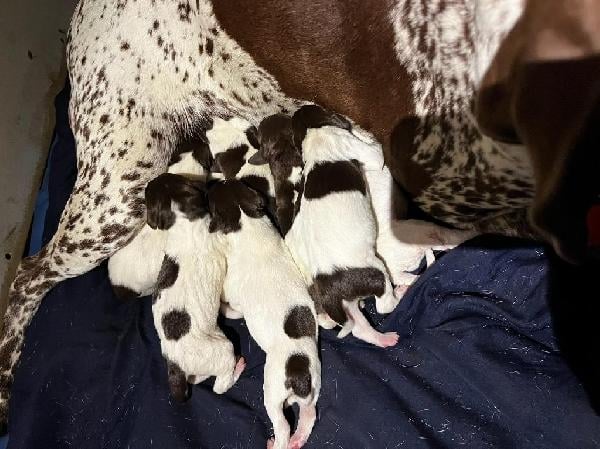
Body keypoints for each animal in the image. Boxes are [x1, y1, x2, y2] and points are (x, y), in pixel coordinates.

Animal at [149, 172, 245, 400]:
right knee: (220, 386)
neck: (181, 218)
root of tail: (176, 367)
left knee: (199, 379)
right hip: (223, 349)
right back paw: (238, 368)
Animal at [209, 179, 324, 449]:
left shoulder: (232, 291)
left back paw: (277, 442)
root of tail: (299, 374)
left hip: (272, 393)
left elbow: (231, 309)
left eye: (211, 199)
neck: (247, 220)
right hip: (314, 387)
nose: (217, 181)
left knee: (282, 427)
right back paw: (299, 438)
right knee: (309, 415)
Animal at [280, 105, 398, 346]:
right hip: (375, 272)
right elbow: (377, 154)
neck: (313, 133)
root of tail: (328, 287)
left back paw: (384, 339)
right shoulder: (352, 144)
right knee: (383, 305)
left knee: (359, 328)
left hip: (347, 305)